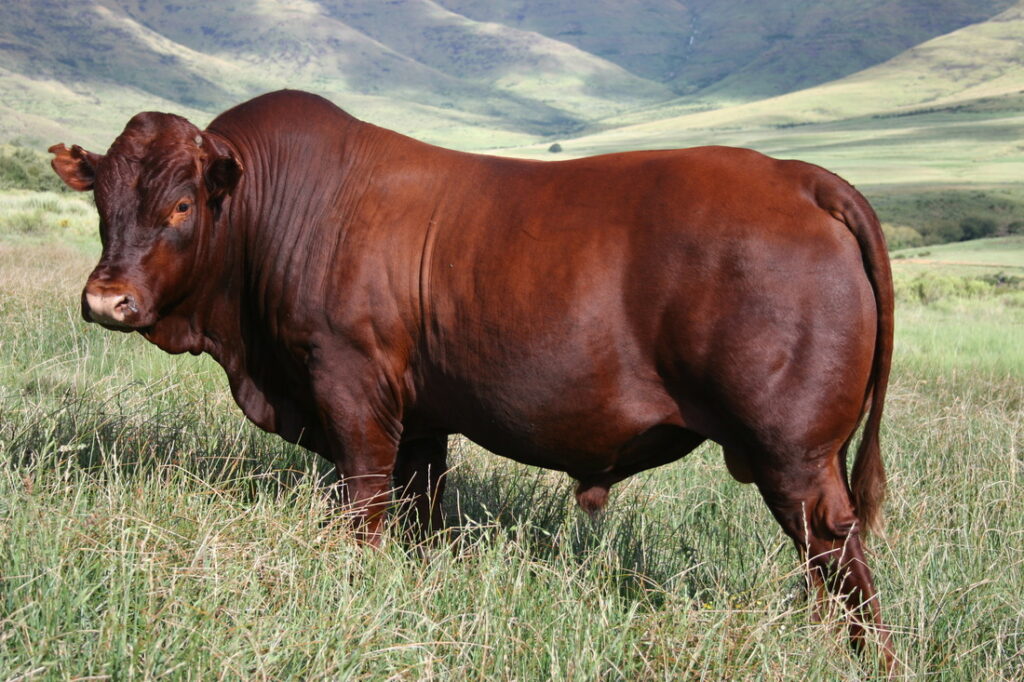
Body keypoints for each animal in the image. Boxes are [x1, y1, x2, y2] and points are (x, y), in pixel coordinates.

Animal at [51, 89, 894, 665]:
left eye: (181, 206)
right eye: (102, 201)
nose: (106, 299)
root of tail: (798, 179)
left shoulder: (352, 392)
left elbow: (365, 508)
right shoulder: (421, 420)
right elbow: (420, 512)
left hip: (793, 453)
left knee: (837, 554)